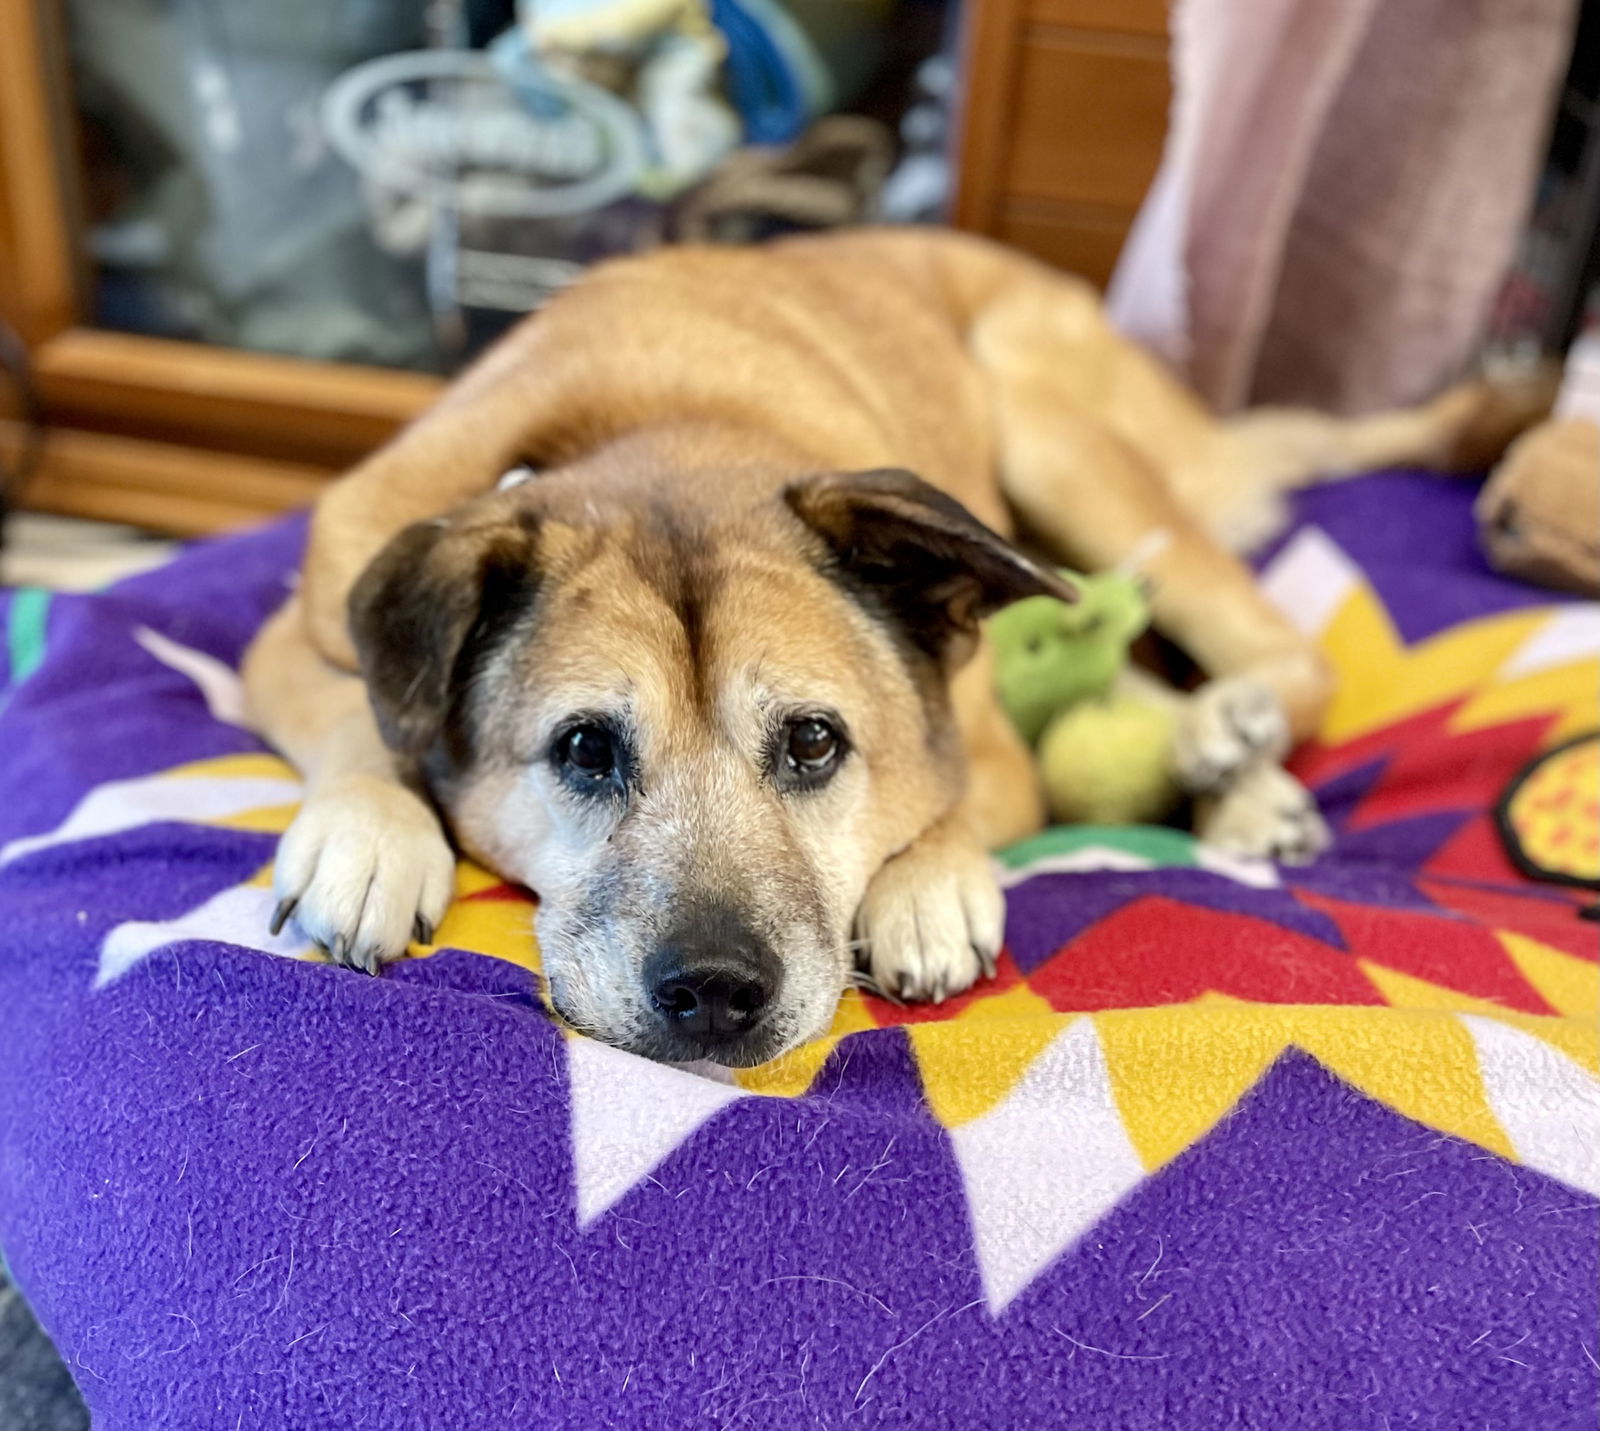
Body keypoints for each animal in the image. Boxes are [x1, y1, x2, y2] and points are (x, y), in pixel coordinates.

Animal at [243, 230, 1542, 1069]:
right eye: (584, 750)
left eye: (816, 744)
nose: (716, 996)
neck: (666, 432)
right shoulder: (293, 630)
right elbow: (357, 717)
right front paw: (372, 835)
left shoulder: (994, 751)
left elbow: (953, 794)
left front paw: (928, 882)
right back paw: (1229, 776)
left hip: (1048, 435)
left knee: (1282, 651)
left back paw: (1232, 735)